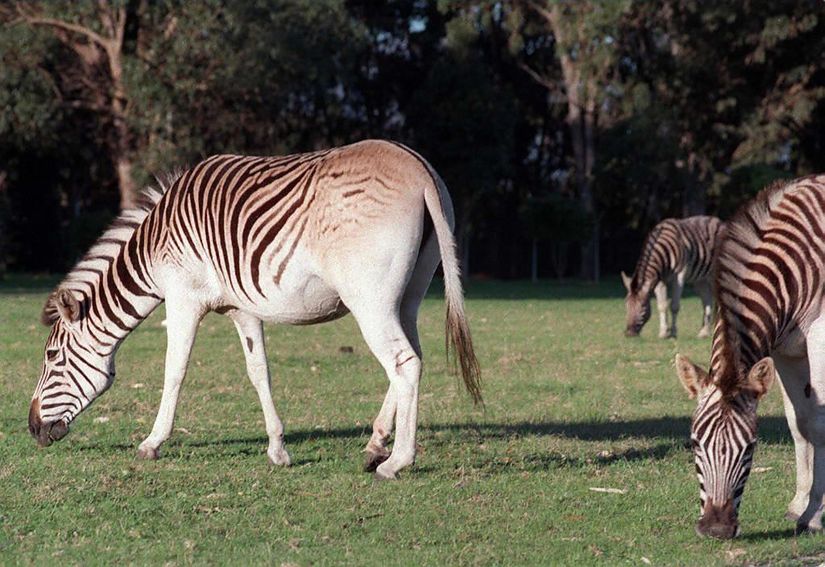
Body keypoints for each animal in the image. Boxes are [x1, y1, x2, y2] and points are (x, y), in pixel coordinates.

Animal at [30, 140, 482, 482]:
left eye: (51, 357)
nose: (32, 429)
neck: (155, 247)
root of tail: (418, 169)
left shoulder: (183, 297)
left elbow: (174, 371)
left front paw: (151, 443)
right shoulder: (240, 307)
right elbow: (258, 371)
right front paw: (278, 449)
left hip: (369, 299)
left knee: (403, 363)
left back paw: (396, 462)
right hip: (408, 296)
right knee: (411, 360)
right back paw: (374, 448)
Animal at [672, 175, 824, 540]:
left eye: (751, 447)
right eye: (695, 444)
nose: (716, 528)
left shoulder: (820, 334)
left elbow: (819, 423)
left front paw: (815, 515)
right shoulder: (785, 351)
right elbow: (799, 423)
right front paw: (799, 505)